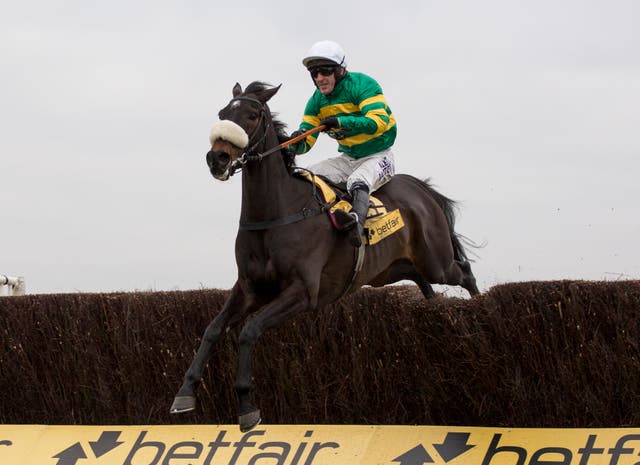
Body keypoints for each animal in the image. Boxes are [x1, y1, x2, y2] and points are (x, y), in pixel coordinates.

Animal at [171, 80, 480, 432]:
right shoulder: (249, 288)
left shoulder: (303, 292)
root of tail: (421, 190)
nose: (218, 158)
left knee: (464, 272)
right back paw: (432, 304)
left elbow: (249, 331)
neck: (277, 213)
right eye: (223, 113)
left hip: (436, 260)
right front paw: (184, 393)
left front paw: (247, 405)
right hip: (388, 270)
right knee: (419, 278)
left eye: (251, 115)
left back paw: (479, 307)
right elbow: (212, 329)